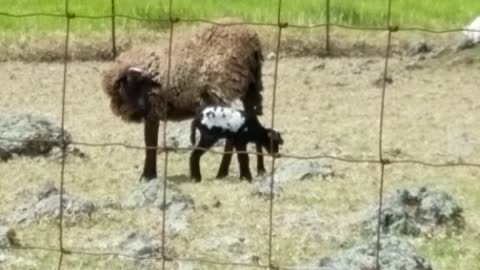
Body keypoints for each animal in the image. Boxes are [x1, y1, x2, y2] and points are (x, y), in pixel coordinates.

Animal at [101, 24, 266, 181]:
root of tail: (251, 40)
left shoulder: (154, 110)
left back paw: (223, 172)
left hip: (222, 91)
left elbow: (150, 143)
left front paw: (148, 176)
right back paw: (258, 169)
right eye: (123, 86)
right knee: (253, 123)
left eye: (127, 84)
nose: (138, 110)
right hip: (250, 89)